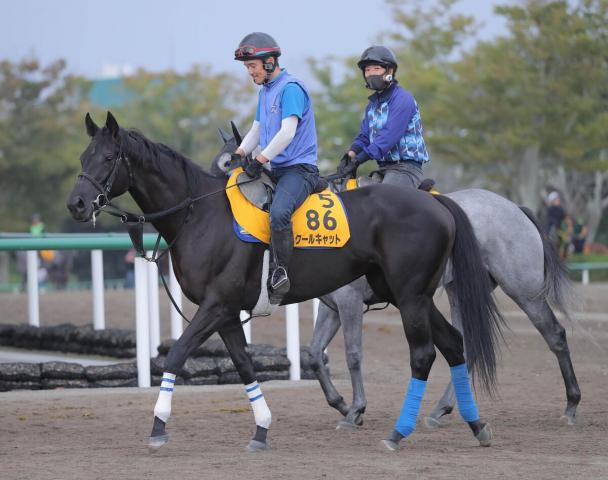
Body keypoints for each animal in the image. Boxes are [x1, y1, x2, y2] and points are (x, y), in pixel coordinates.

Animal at [66, 114, 504, 452]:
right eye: (84, 156)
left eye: (109, 157)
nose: (76, 204)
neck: (202, 215)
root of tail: (436, 201)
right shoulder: (227, 314)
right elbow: (244, 365)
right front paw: (261, 429)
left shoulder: (215, 306)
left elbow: (175, 356)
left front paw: (158, 426)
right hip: (411, 295)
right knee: (453, 344)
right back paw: (476, 425)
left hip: (411, 296)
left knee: (424, 355)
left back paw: (400, 432)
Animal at [308, 188, 580, 428]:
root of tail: (516, 208)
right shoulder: (332, 308)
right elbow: (314, 354)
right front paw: (341, 403)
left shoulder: (349, 301)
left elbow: (353, 355)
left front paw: (355, 410)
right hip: (461, 292)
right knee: (466, 347)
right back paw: (442, 409)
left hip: (523, 291)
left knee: (554, 335)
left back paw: (571, 405)